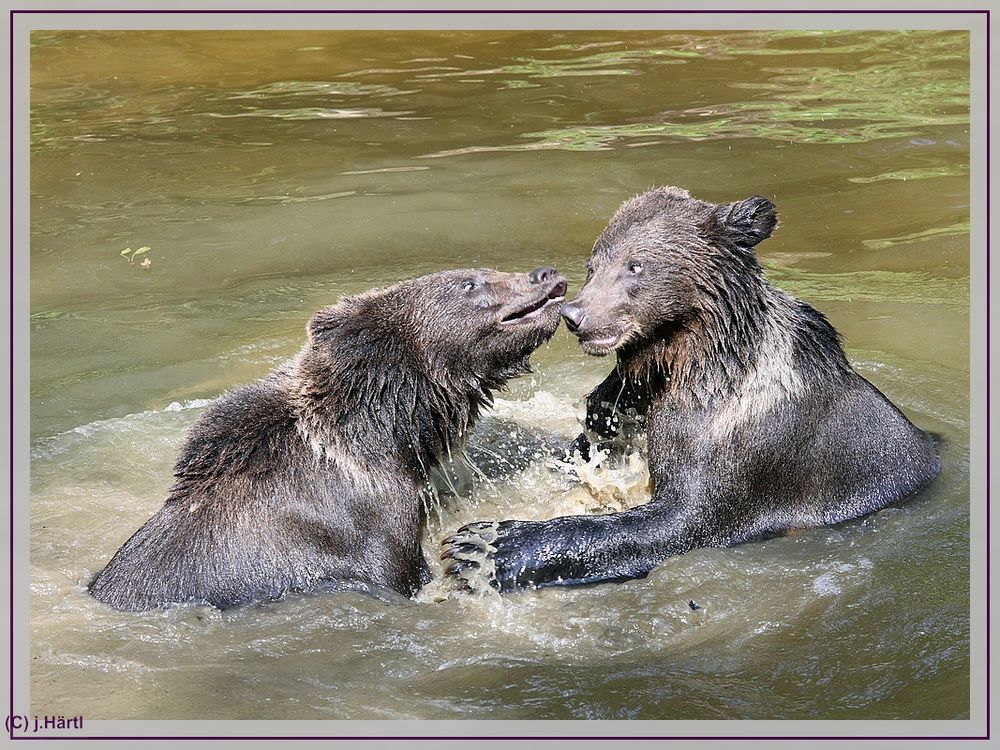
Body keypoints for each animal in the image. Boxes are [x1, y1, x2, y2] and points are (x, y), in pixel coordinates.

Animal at [442, 187, 940, 592]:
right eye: (592, 265)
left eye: (635, 265)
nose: (577, 315)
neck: (688, 361)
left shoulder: (741, 439)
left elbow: (678, 519)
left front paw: (482, 545)